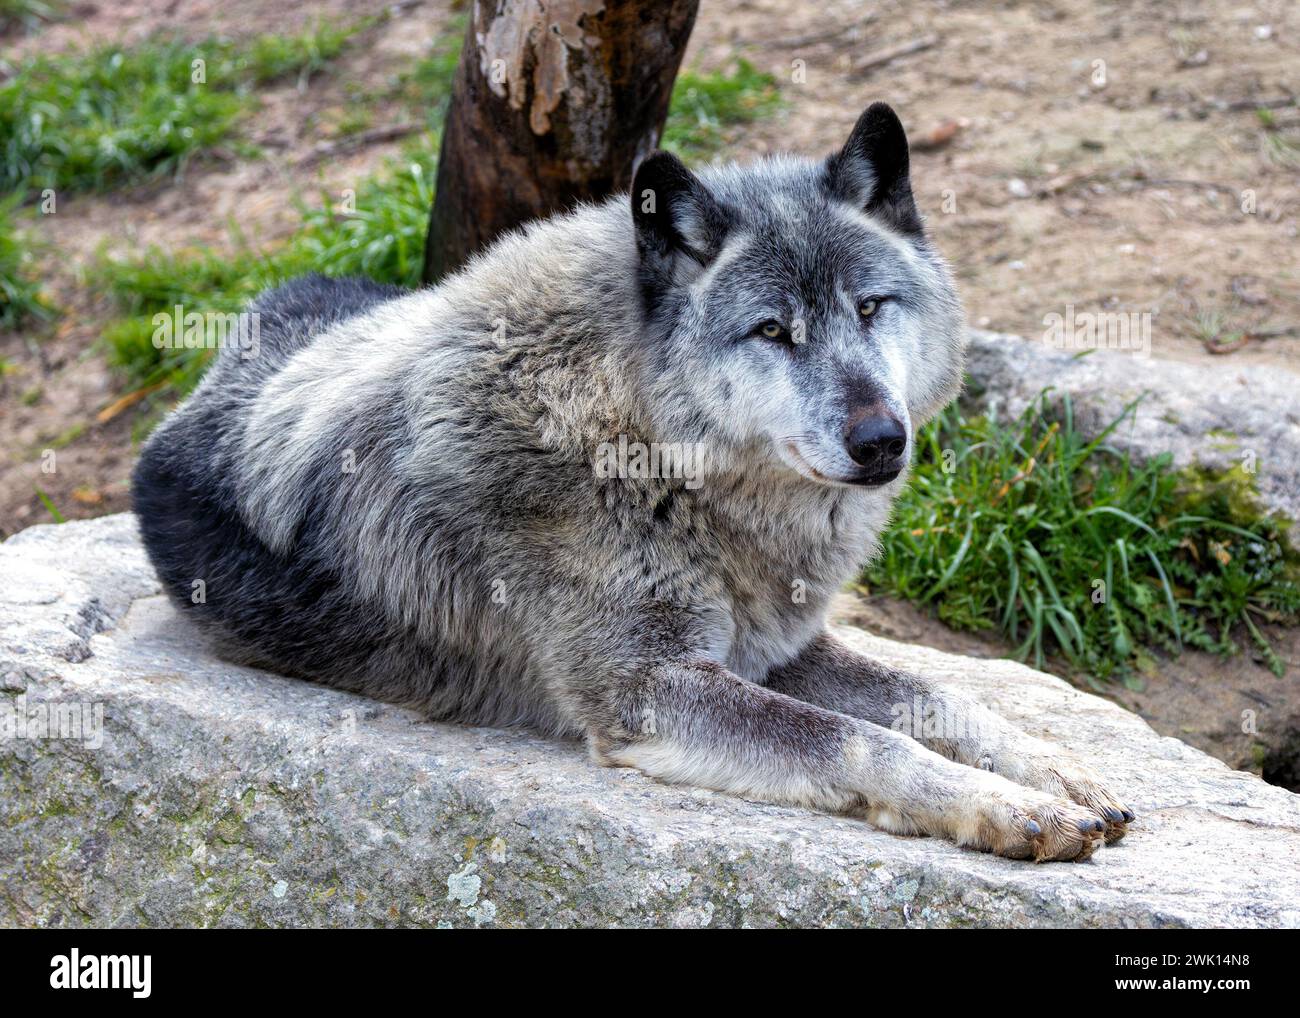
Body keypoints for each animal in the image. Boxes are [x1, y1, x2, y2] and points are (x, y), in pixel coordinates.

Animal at [129, 101, 1128, 858]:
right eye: (773, 331)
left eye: (871, 307)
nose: (883, 439)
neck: (649, 453)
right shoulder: (646, 690)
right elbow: (864, 740)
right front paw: (1008, 809)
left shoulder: (779, 650)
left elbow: (938, 698)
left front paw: (1056, 772)